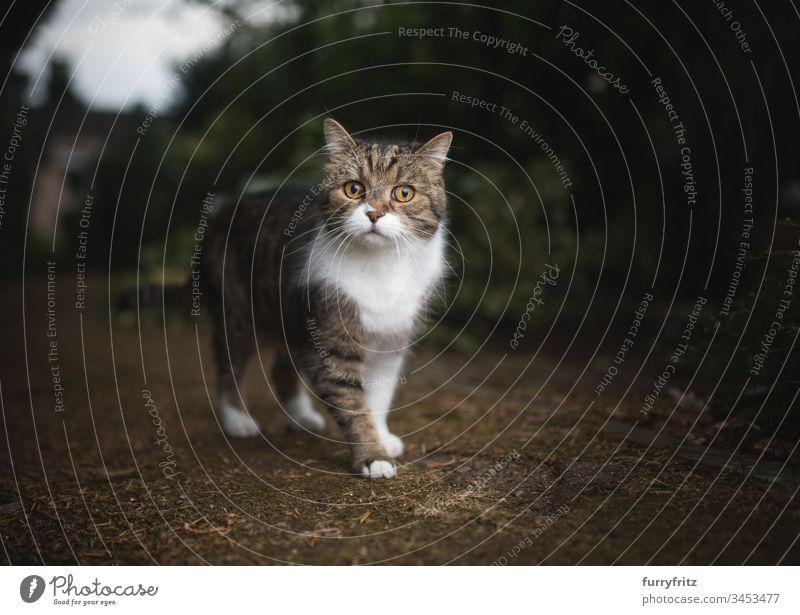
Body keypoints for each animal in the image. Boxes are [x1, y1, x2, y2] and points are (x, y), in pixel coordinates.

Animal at [203, 118, 454, 478]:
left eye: (404, 193)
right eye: (353, 188)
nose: (374, 214)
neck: (381, 266)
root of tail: (226, 208)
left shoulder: (391, 338)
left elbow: (378, 396)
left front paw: (381, 436)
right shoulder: (332, 337)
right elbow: (352, 402)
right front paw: (373, 457)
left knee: (280, 369)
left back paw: (301, 417)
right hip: (236, 308)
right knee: (229, 364)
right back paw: (237, 420)